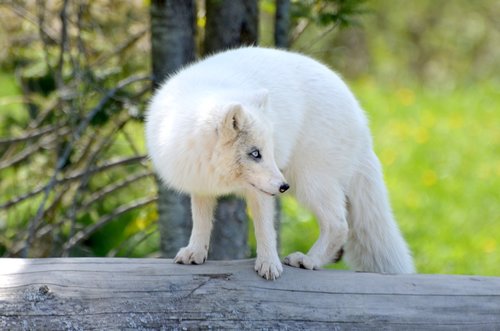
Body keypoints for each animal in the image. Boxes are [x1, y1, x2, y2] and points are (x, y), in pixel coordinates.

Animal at [146, 46, 416, 280]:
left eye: (270, 151)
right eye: (255, 153)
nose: (283, 187)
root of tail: (361, 120)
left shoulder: (262, 191)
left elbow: (265, 229)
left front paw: (268, 264)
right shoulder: (201, 182)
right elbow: (201, 222)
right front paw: (195, 252)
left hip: (309, 181)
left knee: (339, 224)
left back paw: (309, 260)